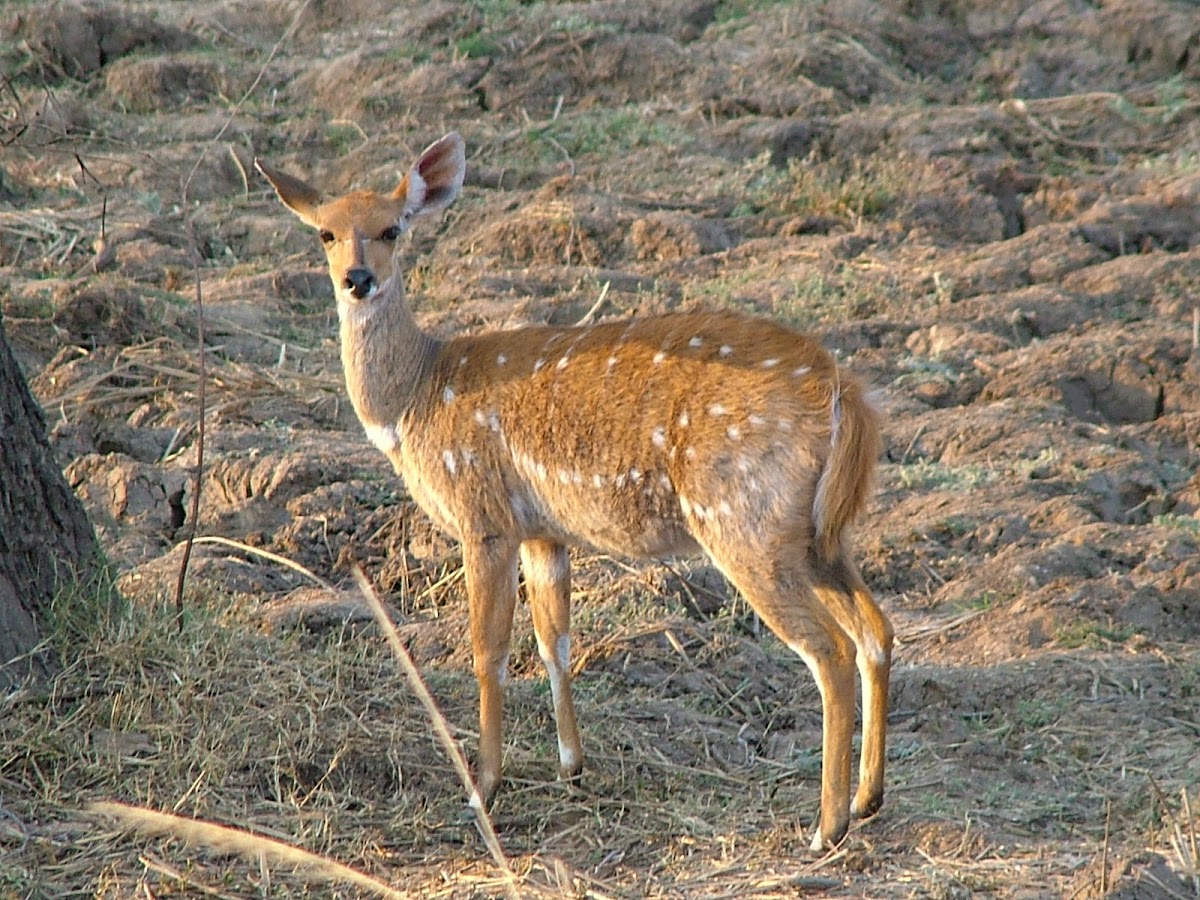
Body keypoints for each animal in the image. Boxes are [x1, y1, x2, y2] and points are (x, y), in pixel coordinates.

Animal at [253, 133, 892, 854]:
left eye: (393, 228)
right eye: (326, 233)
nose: (357, 279)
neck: (415, 397)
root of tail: (844, 393)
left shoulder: (483, 514)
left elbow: (489, 651)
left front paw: (483, 788)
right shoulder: (544, 531)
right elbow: (553, 643)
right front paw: (571, 765)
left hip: (743, 520)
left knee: (830, 651)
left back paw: (826, 827)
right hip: (819, 533)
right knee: (876, 630)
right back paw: (868, 799)